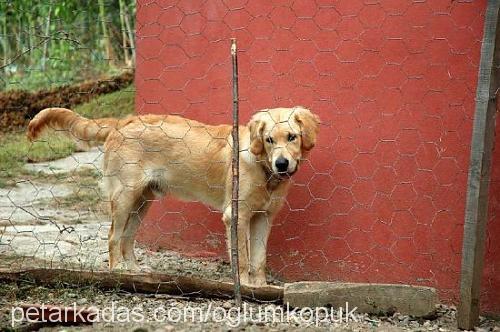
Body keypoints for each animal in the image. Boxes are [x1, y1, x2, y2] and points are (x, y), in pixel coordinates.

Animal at [28, 105, 320, 286]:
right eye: (269, 140)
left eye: (292, 137)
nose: (282, 164)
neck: (264, 170)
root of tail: (124, 121)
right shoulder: (237, 216)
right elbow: (244, 258)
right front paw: (246, 286)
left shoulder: (263, 217)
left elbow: (259, 259)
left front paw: (260, 287)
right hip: (124, 197)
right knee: (113, 236)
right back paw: (117, 270)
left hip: (142, 201)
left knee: (127, 238)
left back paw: (135, 272)